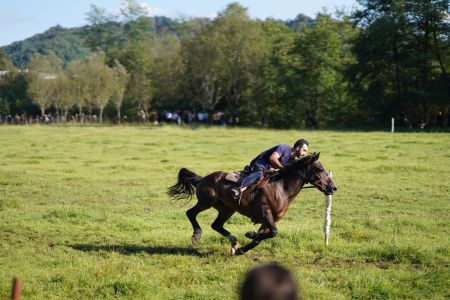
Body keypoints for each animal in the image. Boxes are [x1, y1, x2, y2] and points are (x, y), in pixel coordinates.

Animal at [167, 152, 336, 255]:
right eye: (319, 168)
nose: (333, 187)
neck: (281, 187)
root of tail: (202, 178)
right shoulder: (265, 212)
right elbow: (273, 233)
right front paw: (250, 234)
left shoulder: (269, 219)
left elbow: (261, 238)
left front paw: (242, 249)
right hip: (206, 201)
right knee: (190, 213)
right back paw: (196, 235)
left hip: (227, 209)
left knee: (216, 225)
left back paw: (234, 243)